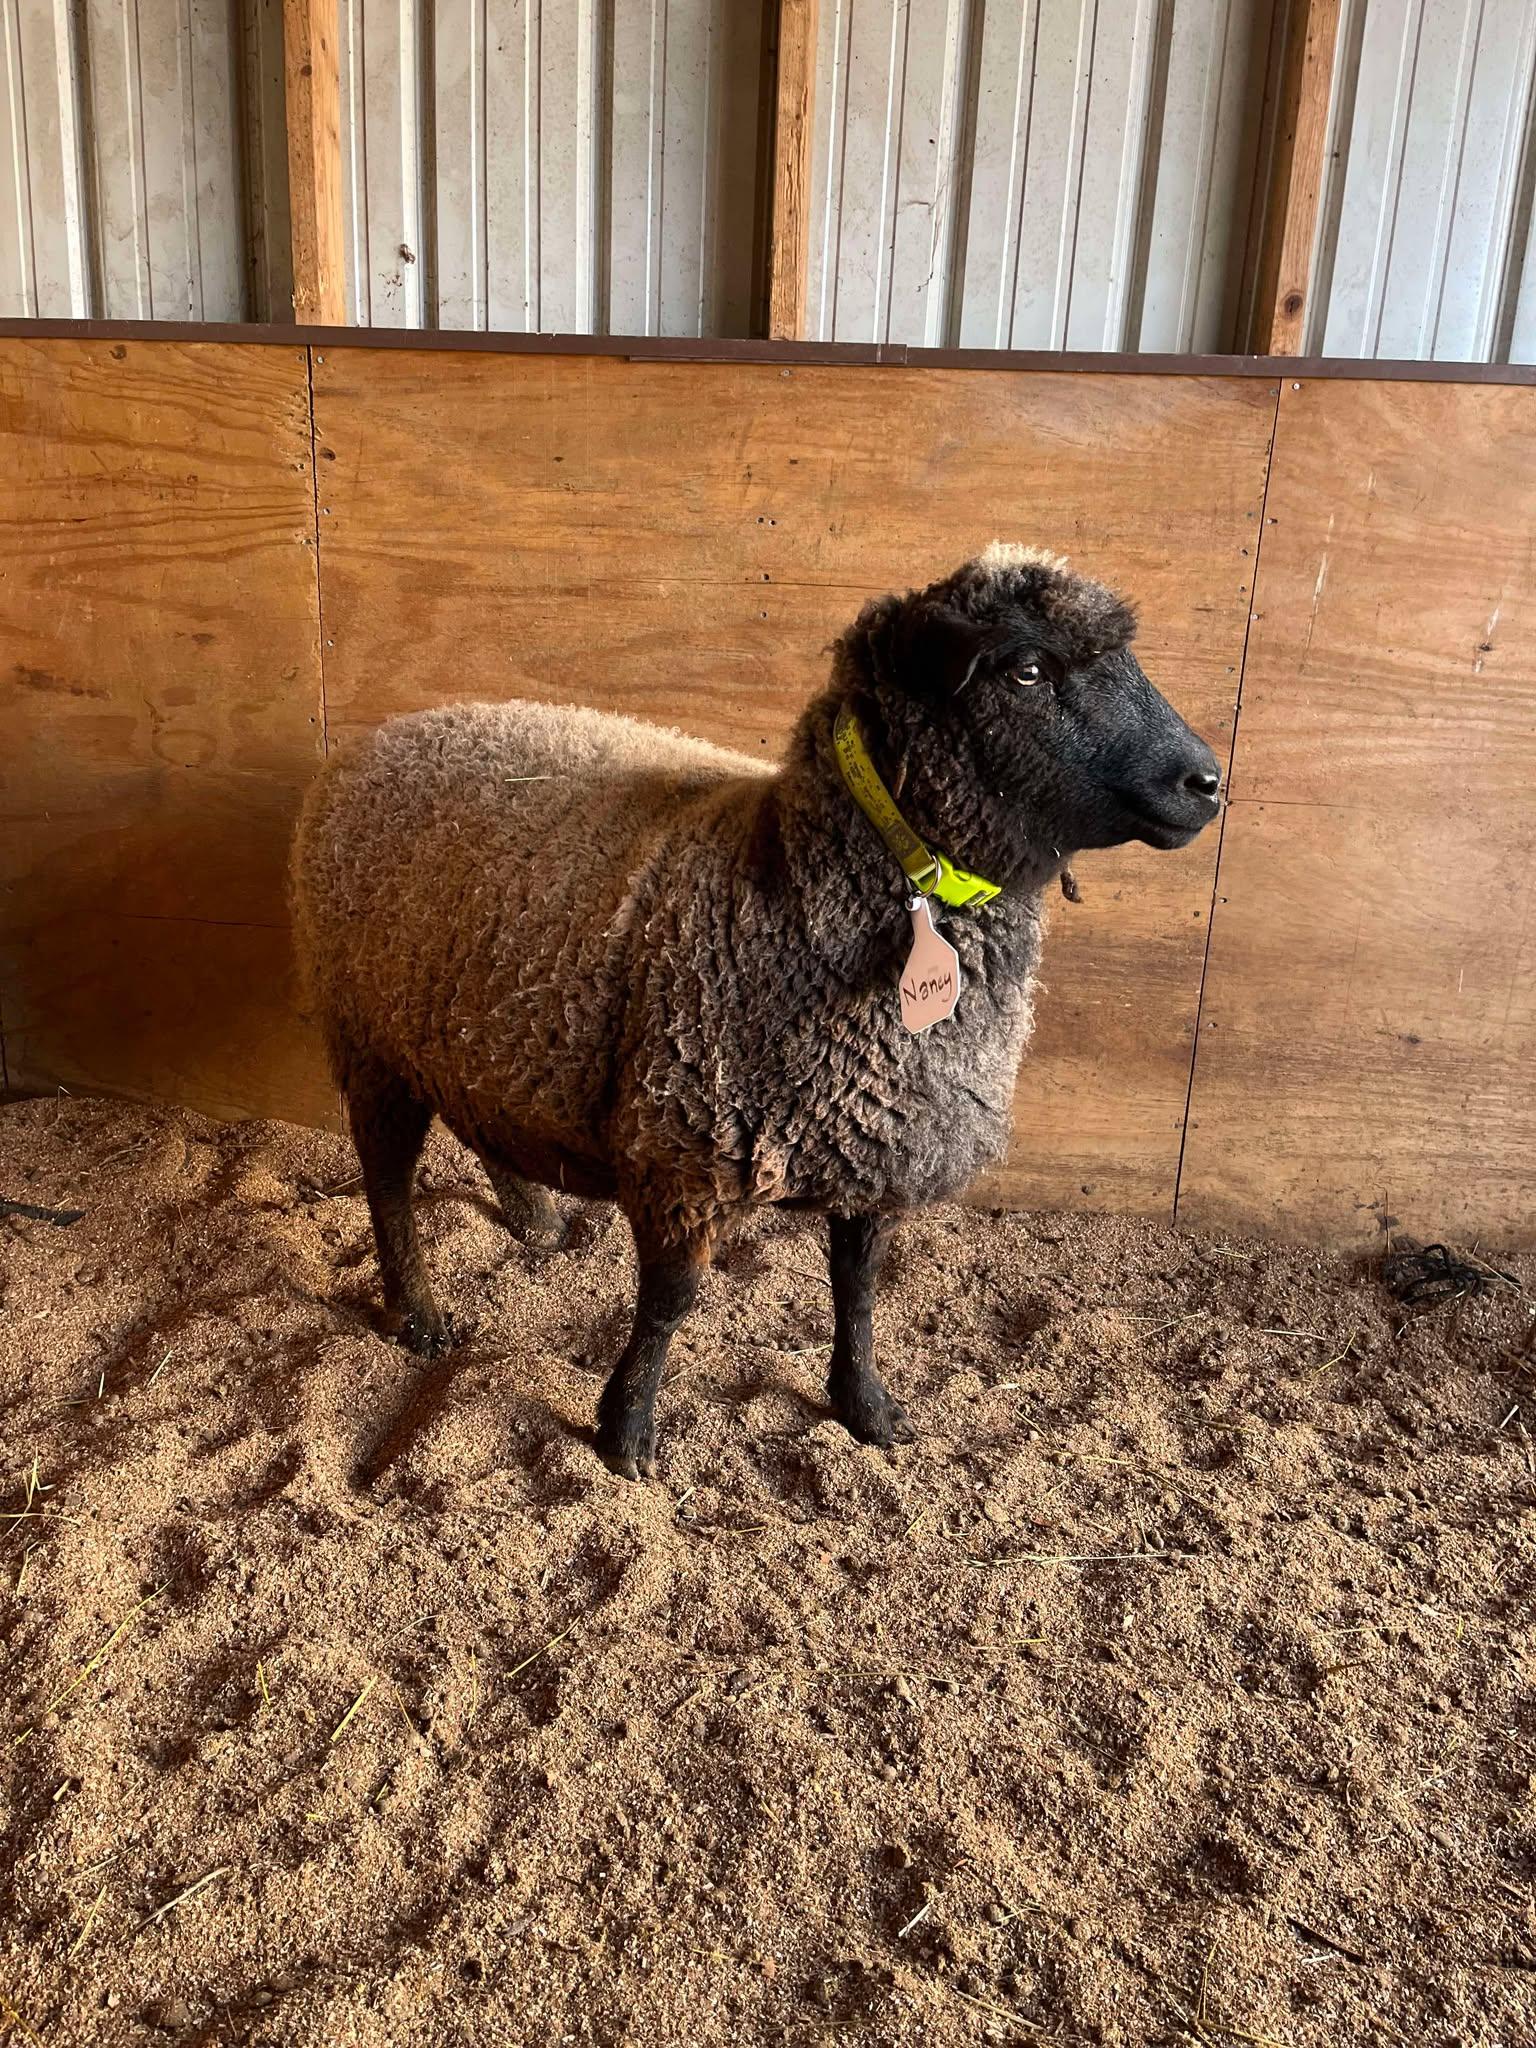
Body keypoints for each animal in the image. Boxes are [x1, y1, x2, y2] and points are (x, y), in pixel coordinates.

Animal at [290, 544, 1222, 1479]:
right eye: (1027, 669)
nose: (1208, 781)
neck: (780, 880)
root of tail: (376, 741)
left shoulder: (875, 1142)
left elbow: (858, 1290)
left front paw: (867, 1409)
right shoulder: (683, 1146)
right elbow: (670, 1302)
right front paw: (626, 1434)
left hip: (482, 1025)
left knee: (483, 1115)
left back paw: (536, 1220)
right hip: (370, 1038)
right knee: (386, 1182)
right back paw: (418, 1315)